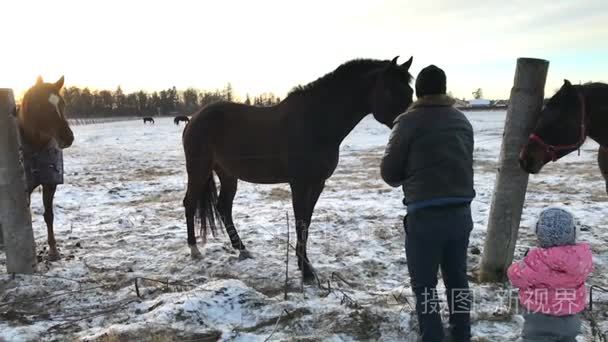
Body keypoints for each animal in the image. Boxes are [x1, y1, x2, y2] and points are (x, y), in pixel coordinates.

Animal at [16, 76, 74, 260]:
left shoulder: (50, 182)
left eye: (63, 103)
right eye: (40, 105)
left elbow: (49, 215)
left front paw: (53, 250)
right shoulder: (24, 188)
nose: (68, 138)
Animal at [183, 56, 416, 280]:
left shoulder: (318, 183)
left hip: (228, 174)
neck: (315, 123)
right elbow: (300, 221)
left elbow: (307, 221)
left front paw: (303, 264)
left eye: (410, 91)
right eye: (389, 90)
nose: (408, 121)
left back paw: (242, 249)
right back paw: (195, 250)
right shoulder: (299, 184)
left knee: (223, 207)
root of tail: (194, 118)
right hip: (199, 170)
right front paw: (306, 272)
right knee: (190, 203)